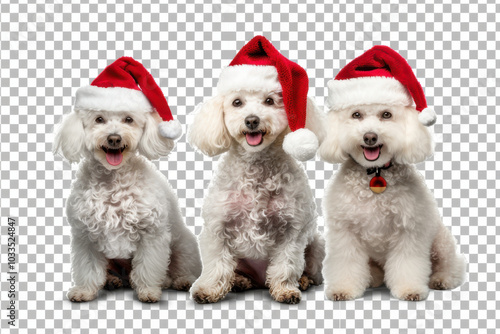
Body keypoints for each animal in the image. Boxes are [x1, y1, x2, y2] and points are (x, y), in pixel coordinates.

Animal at [54, 57, 201, 302]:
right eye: (99, 119)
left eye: (128, 119)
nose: (114, 138)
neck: (113, 181)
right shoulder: (86, 237)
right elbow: (88, 268)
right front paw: (84, 291)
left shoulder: (152, 235)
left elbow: (147, 267)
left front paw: (148, 291)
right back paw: (112, 280)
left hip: (183, 246)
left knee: (180, 268)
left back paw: (178, 280)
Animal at [188, 36, 324, 302]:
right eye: (237, 102)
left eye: (269, 101)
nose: (251, 120)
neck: (256, 167)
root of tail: (260, 280)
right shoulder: (217, 228)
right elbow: (217, 264)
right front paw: (209, 290)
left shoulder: (292, 231)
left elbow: (286, 264)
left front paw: (285, 289)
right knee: (236, 270)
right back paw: (240, 281)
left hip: (316, 243)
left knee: (311, 270)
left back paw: (303, 281)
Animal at [318, 45, 466, 302]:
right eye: (356, 115)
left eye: (386, 115)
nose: (370, 136)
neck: (374, 174)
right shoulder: (345, 233)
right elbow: (346, 263)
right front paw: (343, 289)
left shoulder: (410, 231)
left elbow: (408, 264)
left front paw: (410, 290)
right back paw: (373, 279)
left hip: (440, 241)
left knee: (452, 266)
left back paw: (442, 279)